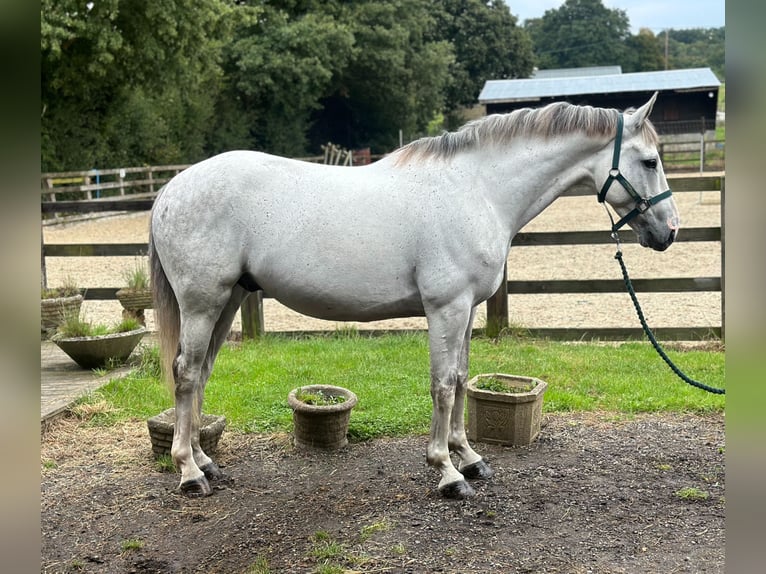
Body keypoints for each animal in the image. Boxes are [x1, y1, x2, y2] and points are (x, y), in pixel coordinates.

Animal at [148, 93, 680, 500]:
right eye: (650, 161)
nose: (670, 231)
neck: (478, 190)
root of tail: (171, 189)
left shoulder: (467, 309)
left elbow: (462, 379)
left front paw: (470, 458)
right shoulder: (447, 308)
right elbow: (442, 385)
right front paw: (446, 472)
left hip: (228, 301)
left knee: (200, 373)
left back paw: (204, 460)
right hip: (203, 303)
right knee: (186, 373)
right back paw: (189, 472)